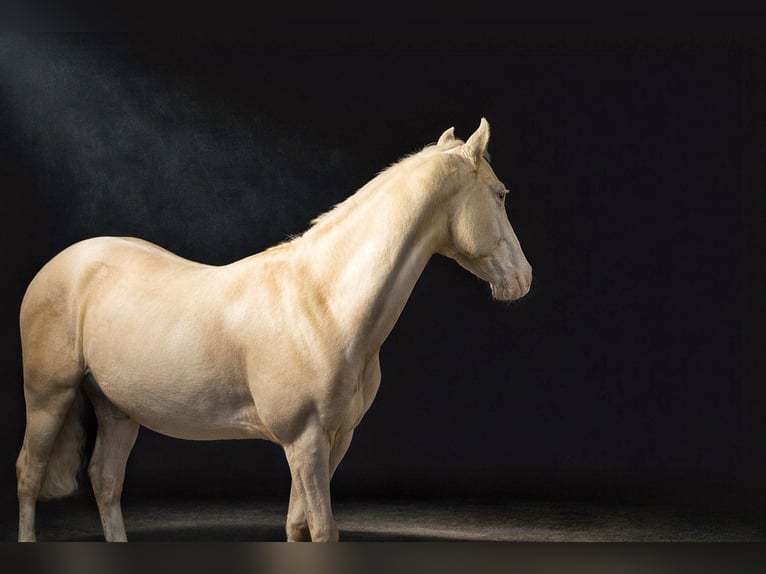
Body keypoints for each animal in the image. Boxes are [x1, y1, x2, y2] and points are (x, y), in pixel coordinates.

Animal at [16, 118, 532, 542]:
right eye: (501, 194)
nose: (523, 278)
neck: (324, 305)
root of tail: (58, 266)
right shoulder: (303, 440)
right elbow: (322, 530)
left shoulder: (335, 439)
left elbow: (298, 527)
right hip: (49, 396)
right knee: (29, 473)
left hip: (119, 410)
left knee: (105, 481)